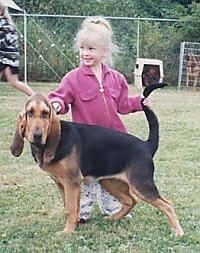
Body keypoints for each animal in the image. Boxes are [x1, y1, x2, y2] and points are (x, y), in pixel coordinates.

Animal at [10, 83, 184, 237]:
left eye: (46, 113)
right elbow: (70, 208)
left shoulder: (72, 182)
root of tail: (146, 144)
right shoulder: (61, 184)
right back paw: (113, 218)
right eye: (29, 113)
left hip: (141, 185)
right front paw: (74, 226)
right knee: (131, 201)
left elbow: (71, 209)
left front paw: (67, 232)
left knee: (167, 205)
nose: (37, 136)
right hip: (110, 182)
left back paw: (178, 232)